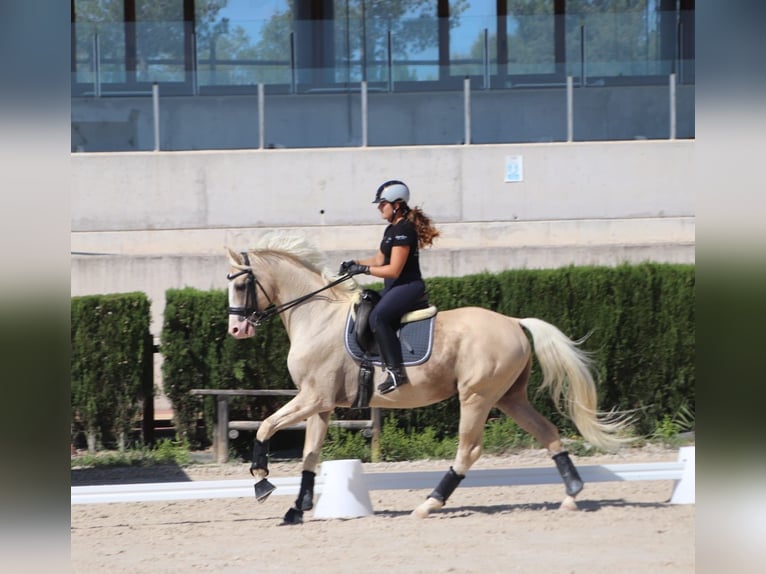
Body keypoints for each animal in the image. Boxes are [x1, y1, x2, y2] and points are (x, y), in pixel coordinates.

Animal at [224, 233, 632, 528]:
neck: (316, 316)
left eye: (241, 285)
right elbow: (309, 455)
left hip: (476, 397)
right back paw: (571, 494)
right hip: (510, 398)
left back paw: (428, 505)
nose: (236, 330)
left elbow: (266, 426)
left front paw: (262, 481)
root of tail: (514, 322)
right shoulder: (320, 404)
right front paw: (297, 509)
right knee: (548, 433)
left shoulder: (312, 398)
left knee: (469, 450)